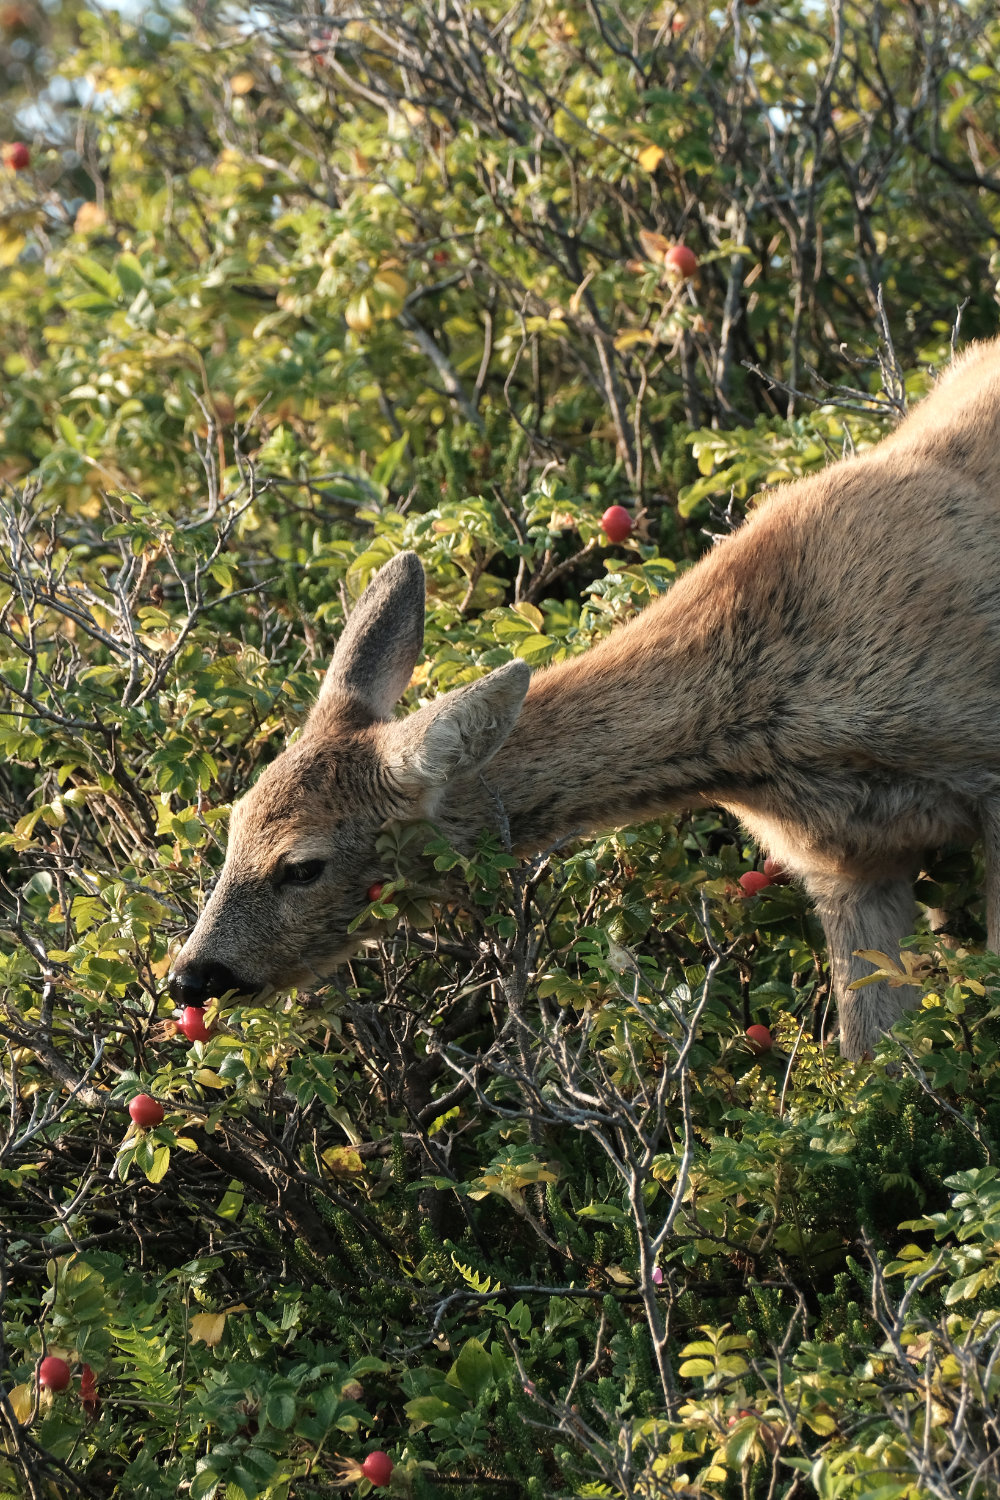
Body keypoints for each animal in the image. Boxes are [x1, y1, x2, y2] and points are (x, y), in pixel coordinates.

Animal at [168, 337, 1000, 1059]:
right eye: (231, 825)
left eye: (301, 866)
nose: (190, 974)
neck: (771, 720)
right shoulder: (844, 860)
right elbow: (876, 1064)